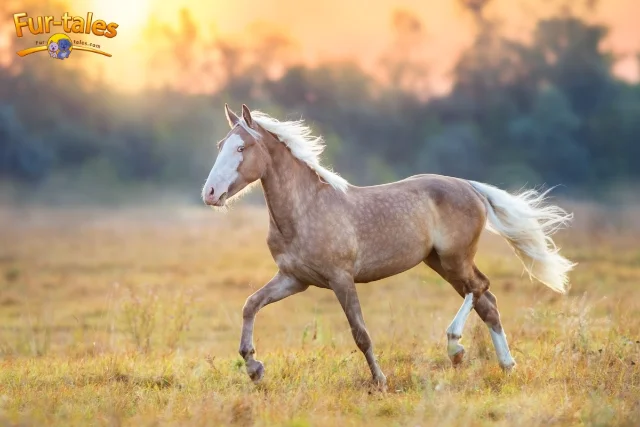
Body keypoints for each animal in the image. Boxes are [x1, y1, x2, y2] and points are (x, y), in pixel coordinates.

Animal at [202, 104, 575, 389]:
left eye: (241, 148)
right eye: (219, 144)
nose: (210, 193)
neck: (305, 209)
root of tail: (470, 186)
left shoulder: (340, 279)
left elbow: (361, 333)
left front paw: (380, 381)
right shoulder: (294, 279)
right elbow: (250, 305)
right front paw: (254, 367)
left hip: (455, 259)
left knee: (480, 288)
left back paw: (455, 347)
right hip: (440, 263)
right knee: (488, 303)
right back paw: (506, 365)